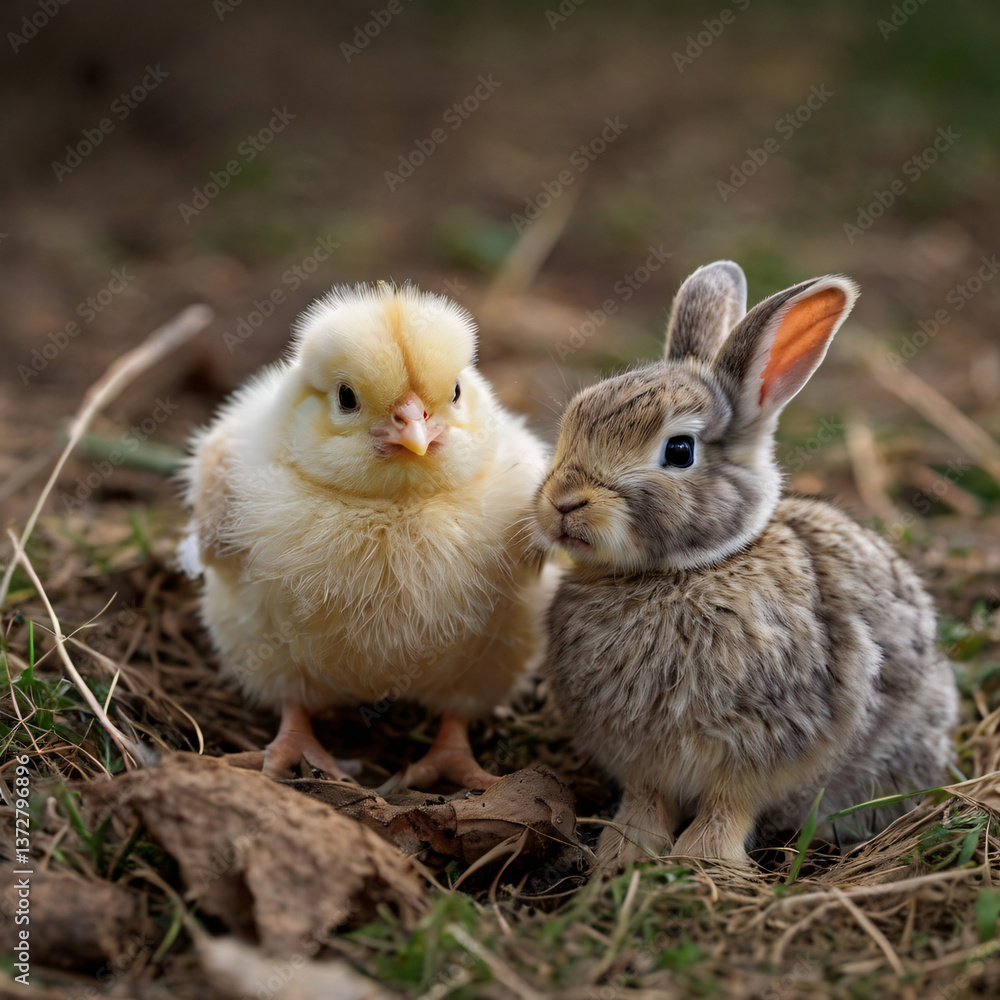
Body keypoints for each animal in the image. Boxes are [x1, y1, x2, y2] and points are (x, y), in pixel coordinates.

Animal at [533, 260, 959, 868]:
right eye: (573, 418)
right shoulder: (641, 758)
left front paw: (702, 860)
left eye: (679, 451)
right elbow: (646, 797)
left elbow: (729, 805)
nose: (564, 501)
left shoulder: (762, 743)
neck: (680, 574)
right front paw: (624, 852)